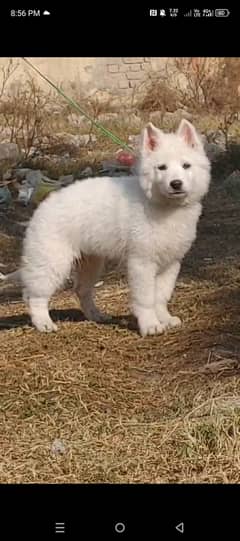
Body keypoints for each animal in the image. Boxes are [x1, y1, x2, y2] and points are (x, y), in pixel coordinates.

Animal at [0, 120, 210, 336]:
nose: (176, 184)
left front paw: (165, 319)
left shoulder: (170, 264)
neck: (164, 207)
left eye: (186, 166)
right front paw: (150, 325)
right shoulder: (142, 263)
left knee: (81, 290)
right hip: (53, 261)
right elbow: (145, 298)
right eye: (162, 168)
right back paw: (44, 323)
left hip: (90, 263)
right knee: (35, 295)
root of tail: (42, 207)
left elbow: (160, 296)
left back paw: (95, 315)